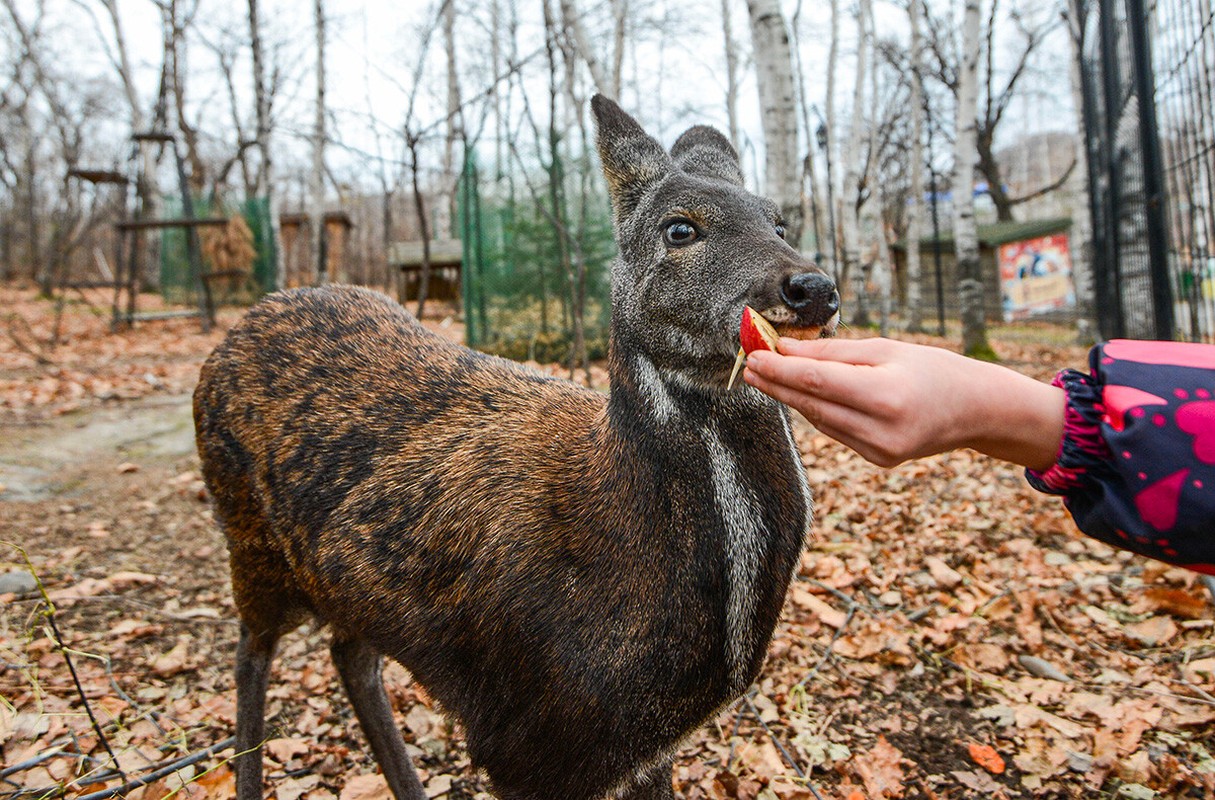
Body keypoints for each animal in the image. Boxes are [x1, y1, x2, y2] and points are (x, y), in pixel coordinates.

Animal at [196, 94, 845, 797]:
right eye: (679, 229)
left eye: (780, 222)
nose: (813, 288)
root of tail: (243, 323)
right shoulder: (521, 742)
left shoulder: (637, 751)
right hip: (247, 535)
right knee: (250, 654)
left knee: (348, 652)